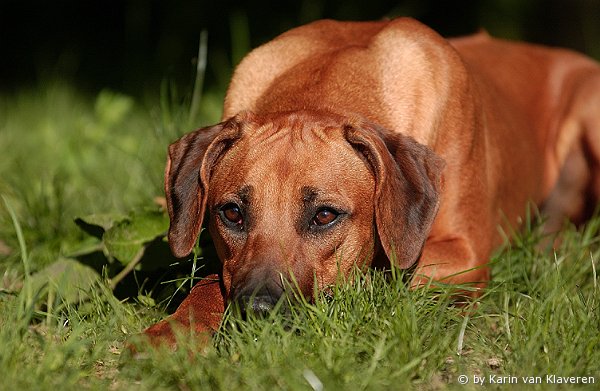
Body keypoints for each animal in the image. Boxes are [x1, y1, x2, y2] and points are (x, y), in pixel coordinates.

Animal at [144, 17, 600, 346]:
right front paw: (172, 333)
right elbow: (208, 280)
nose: (258, 310)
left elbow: (384, 269)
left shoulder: (465, 252)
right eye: (232, 213)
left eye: (325, 215)